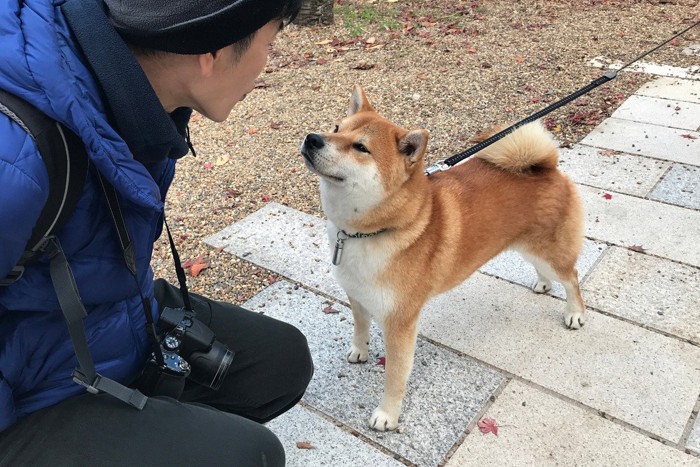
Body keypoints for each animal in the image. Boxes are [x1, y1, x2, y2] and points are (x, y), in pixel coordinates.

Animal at [300, 87, 584, 432]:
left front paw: (387, 415)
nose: (313, 138)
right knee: (545, 270)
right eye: (337, 128)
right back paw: (542, 284)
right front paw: (359, 351)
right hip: (526, 246)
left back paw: (574, 313)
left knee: (571, 278)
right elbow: (360, 327)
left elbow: (395, 377)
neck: (366, 233)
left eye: (361, 147)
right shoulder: (357, 295)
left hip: (551, 251)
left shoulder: (399, 323)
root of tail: (548, 168)